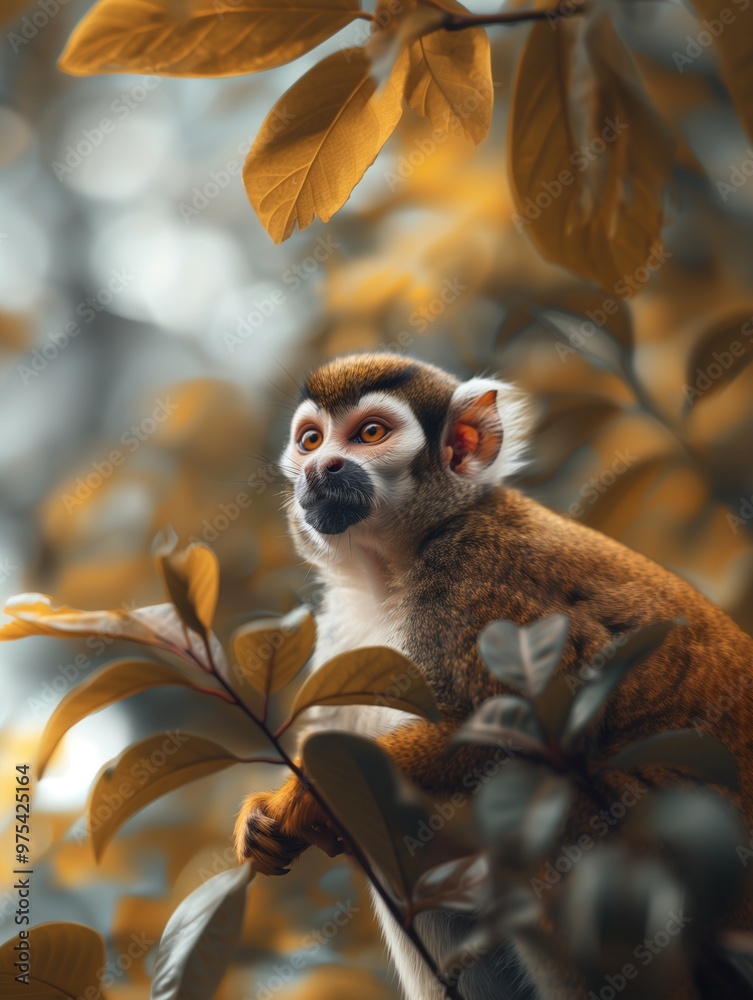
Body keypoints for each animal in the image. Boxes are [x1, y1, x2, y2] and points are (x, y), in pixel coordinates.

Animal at [234, 352, 753, 1000]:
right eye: (310, 440)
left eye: (370, 434)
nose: (320, 466)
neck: (398, 564)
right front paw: (267, 813)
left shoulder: (480, 571)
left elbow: (525, 732)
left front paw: (305, 794)